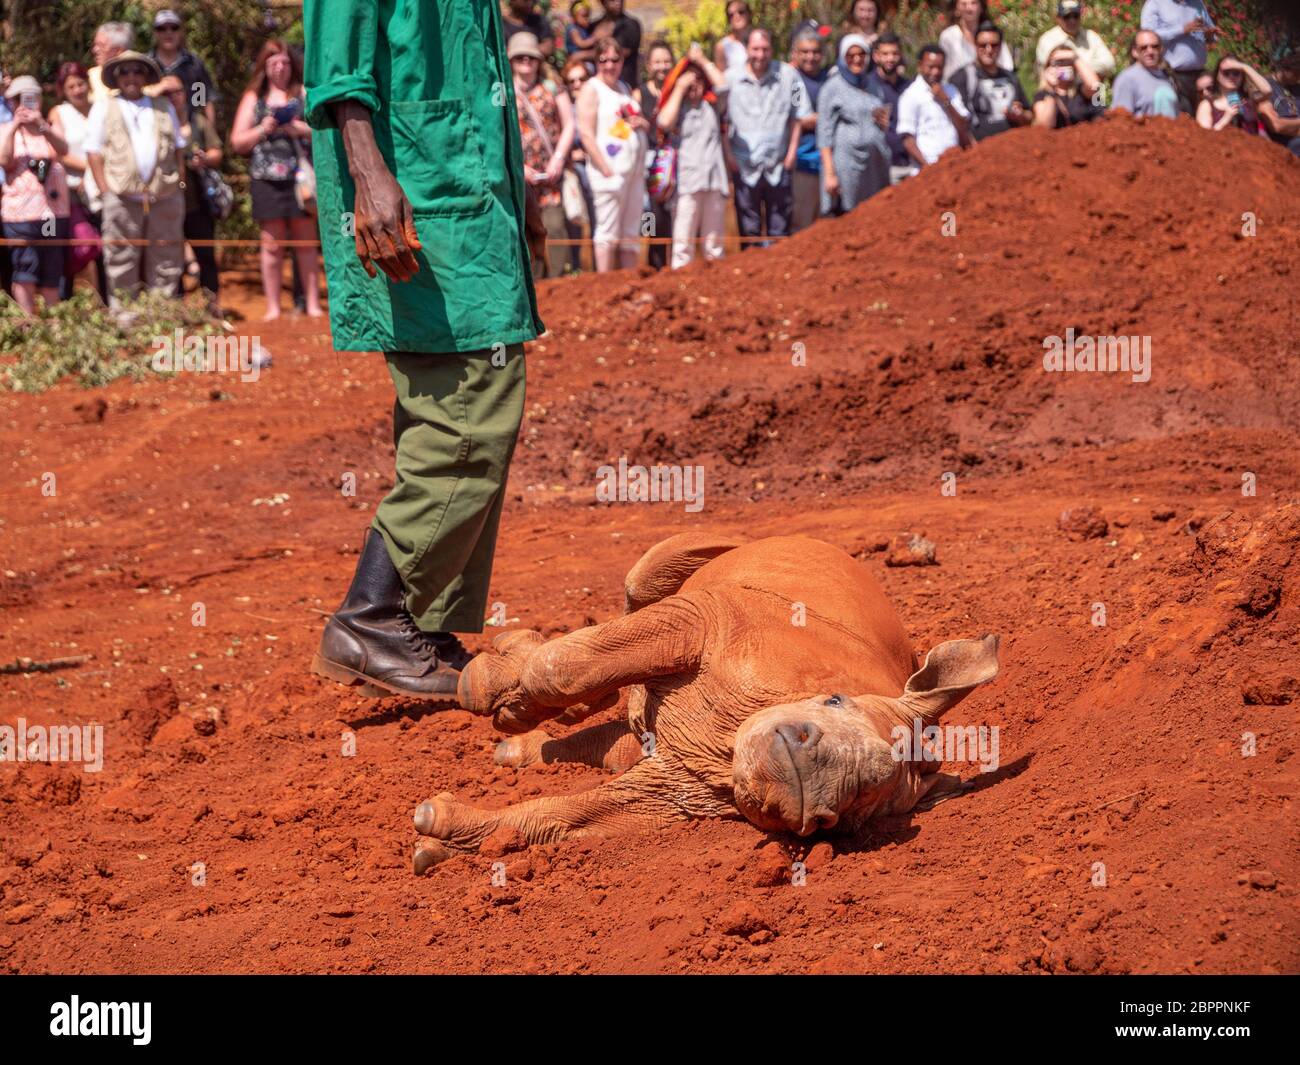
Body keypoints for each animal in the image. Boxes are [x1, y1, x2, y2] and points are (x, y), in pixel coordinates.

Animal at [410, 533, 998, 873]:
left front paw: (440, 838)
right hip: (746, 555)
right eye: (833, 701)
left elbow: (564, 816)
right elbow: (565, 666)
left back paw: (518, 749)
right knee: (641, 590)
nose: (810, 776)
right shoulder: (714, 619)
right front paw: (495, 694)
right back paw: (502, 687)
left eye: (845, 820)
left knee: (627, 739)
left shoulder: (681, 790)